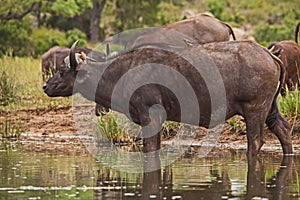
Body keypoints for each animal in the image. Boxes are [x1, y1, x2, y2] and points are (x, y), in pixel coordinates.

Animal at [43, 40, 292, 158]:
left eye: (62, 71)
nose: (46, 86)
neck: (122, 72)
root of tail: (268, 54)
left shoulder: (149, 117)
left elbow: (149, 149)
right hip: (270, 109)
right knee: (283, 130)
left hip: (254, 110)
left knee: (255, 142)